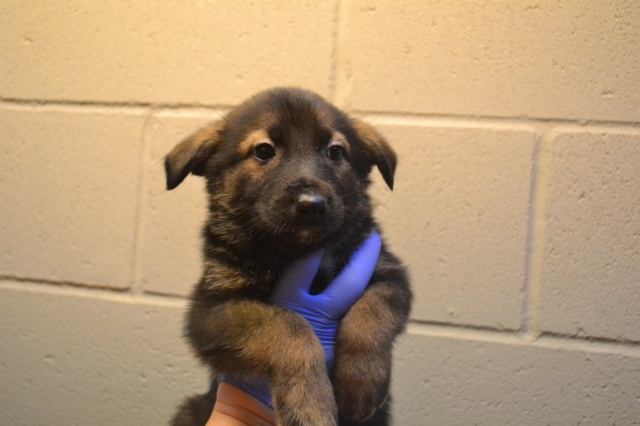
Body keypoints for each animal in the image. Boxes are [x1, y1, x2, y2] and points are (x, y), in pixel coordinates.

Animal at [165, 88, 411, 426]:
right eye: (263, 151)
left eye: (335, 152)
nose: (311, 203)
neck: (294, 252)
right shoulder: (211, 310)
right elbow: (288, 325)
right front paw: (308, 406)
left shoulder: (389, 273)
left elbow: (371, 313)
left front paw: (362, 381)